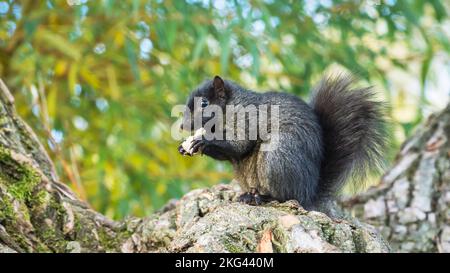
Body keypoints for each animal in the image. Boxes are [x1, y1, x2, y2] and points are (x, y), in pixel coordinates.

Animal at [178, 74, 386, 210]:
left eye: (204, 103)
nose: (182, 126)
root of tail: (309, 194)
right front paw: (185, 146)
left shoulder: (248, 119)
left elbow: (239, 144)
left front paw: (202, 141)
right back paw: (249, 195)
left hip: (278, 156)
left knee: (286, 196)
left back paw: (264, 197)